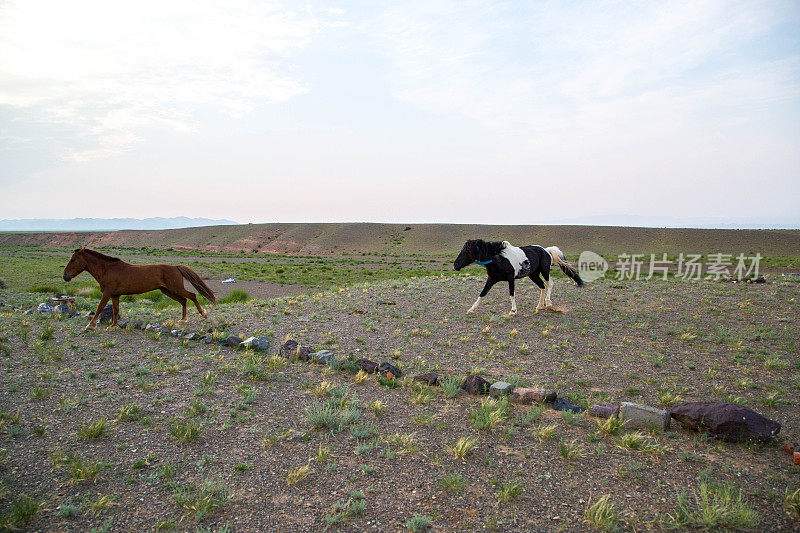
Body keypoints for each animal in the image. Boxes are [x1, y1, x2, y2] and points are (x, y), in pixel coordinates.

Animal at [63, 246, 216, 328]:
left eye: (73, 260)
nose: (65, 276)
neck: (107, 270)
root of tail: (175, 267)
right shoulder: (115, 295)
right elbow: (115, 310)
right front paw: (113, 326)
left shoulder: (107, 293)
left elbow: (100, 307)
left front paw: (90, 325)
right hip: (167, 290)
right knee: (183, 300)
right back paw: (183, 319)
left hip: (175, 288)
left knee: (192, 296)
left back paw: (203, 314)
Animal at [454, 240, 584, 316]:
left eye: (467, 251)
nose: (455, 265)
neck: (499, 258)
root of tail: (546, 250)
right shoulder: (492, 279)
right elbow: (482, 293)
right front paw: (471, 309)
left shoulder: (511, 278)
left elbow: (511, 293)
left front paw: (513, 310)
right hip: (533, 274)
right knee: (542, 286)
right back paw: (539, 306)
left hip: (545, 271)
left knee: (549, 284)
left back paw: (548, 303)